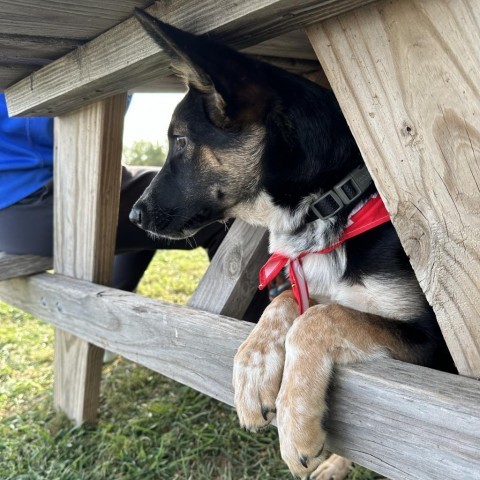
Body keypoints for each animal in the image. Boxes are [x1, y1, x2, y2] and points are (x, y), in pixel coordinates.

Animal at [131, 8, 454, 480]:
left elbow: (321, 317)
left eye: (180, 141)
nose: (134, 216)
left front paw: (294, 421)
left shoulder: (430, 342)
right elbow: (286, 302)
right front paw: (253, 365)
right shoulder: (303, 282)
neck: (330, 209)